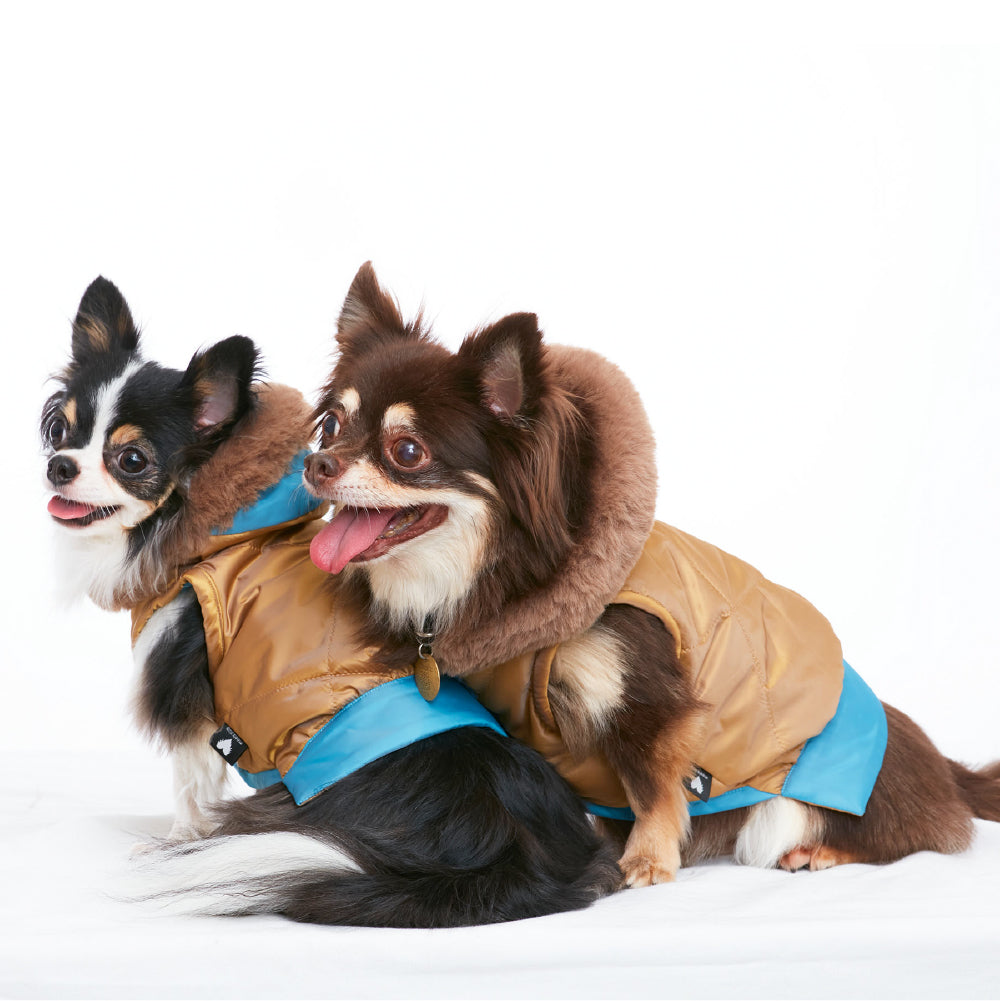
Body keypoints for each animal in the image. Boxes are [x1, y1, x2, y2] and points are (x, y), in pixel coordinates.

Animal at [41, 276, 620, 926]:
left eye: (131, 460)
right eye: (60, 431)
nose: (59, 466)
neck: (207, 531)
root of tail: (507, 854)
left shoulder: (186, 694)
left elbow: (190, 784)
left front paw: (177, 841)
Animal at [303, 262, 1000, 885]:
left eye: (408, 452)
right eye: (331, 426)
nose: (316, 464)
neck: (506, 581)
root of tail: (944, 770)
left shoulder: (647, 702)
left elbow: (652, 786)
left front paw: (648, 859)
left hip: (797, 808)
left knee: (908, 835)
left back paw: (822, 851)